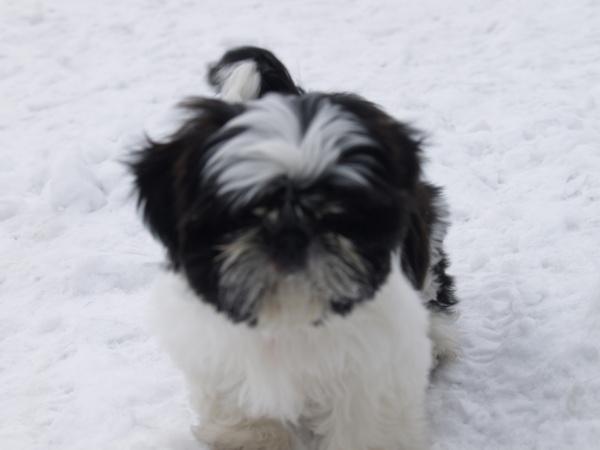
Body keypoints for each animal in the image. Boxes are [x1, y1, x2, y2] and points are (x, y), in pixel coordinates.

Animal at [130, 47, 458, 450]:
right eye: (243, 212)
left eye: (336, 210)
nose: (290, 236)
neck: (289, 311)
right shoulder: (220, 353)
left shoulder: (372, 364)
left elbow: (365, 426)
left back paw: (439, 339)